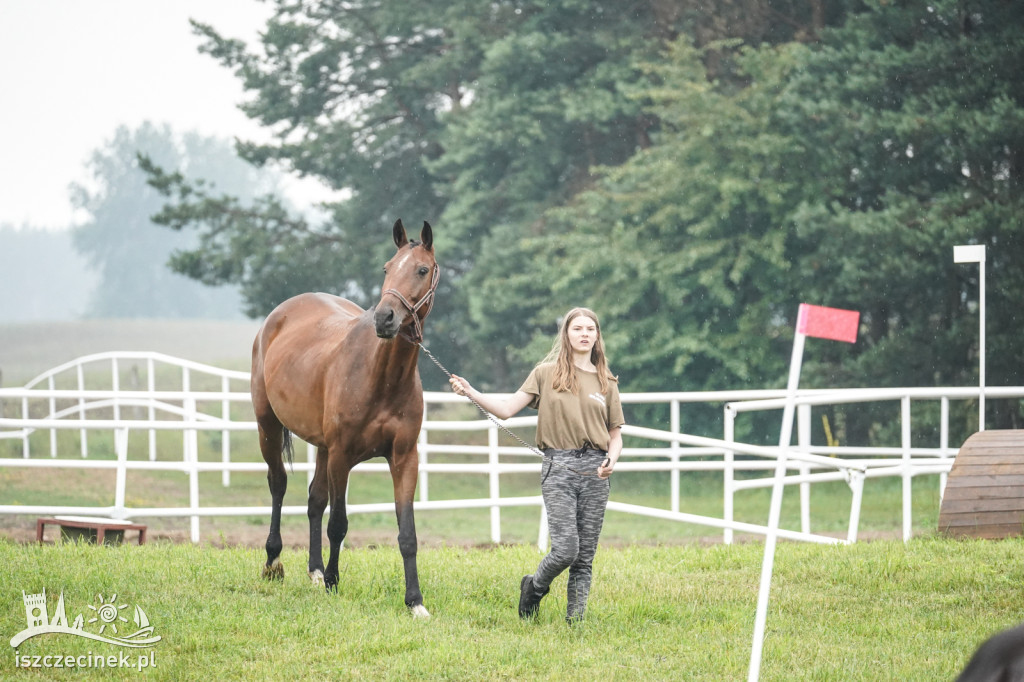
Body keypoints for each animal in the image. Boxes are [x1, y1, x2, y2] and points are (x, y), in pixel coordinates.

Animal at [252, 218, 440, 614]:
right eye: (387, 267)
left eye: (422, 269)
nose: (385, 318)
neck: (381, 377)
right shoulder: (342, 455)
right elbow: (338, 523)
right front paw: (334, 582)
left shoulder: (404, 458)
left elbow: (408, 533)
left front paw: (415, 601)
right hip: (268, 426)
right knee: (279, 484)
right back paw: (274, 562)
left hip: (321, 446)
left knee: (314, 499)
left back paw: (314, 570)